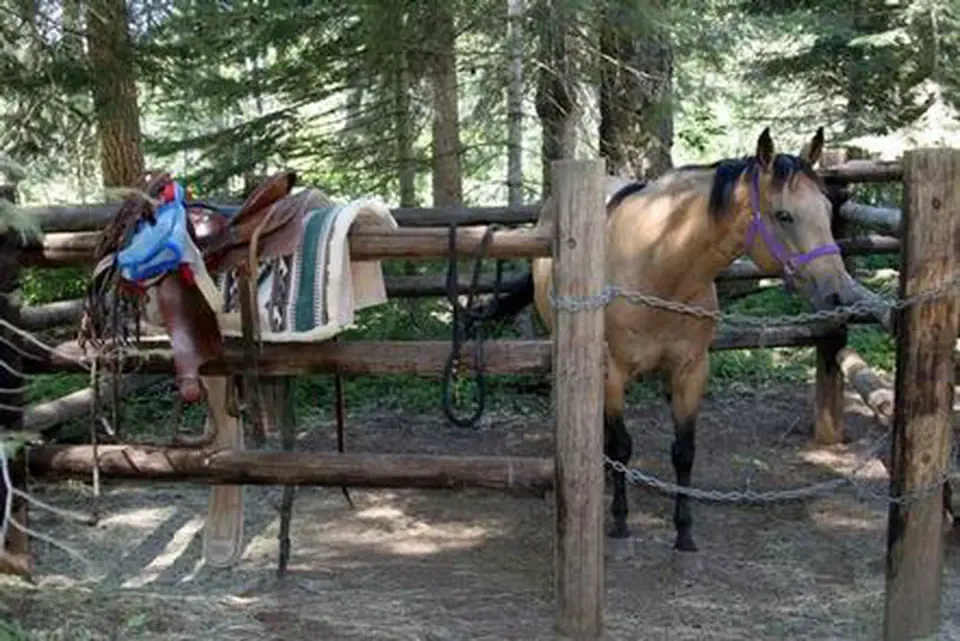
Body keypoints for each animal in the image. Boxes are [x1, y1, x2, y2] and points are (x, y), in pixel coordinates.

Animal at [488, 127, 887, 551]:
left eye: (827, 211)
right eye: (784, 215)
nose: (838, 293)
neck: (658, 266)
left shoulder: (691, 369)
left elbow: (683, 451)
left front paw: (684, 530)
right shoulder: (612, 371)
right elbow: (622, 446)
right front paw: (620, 519)